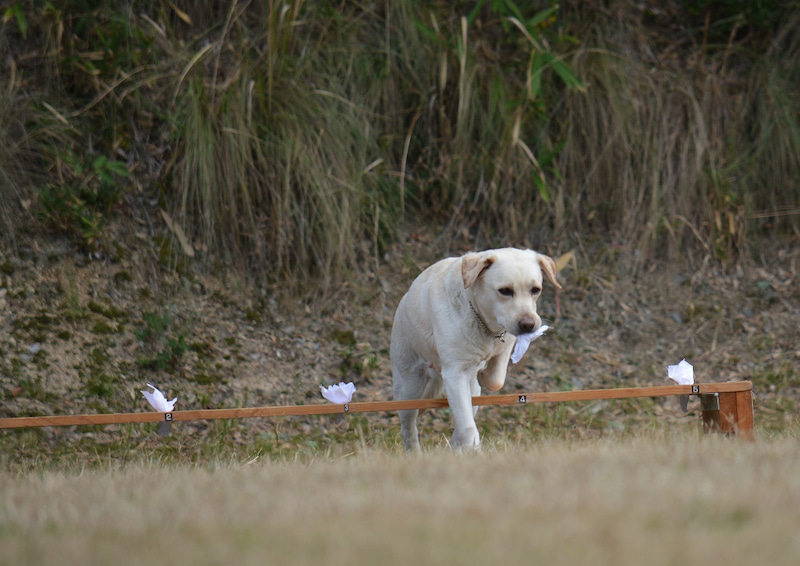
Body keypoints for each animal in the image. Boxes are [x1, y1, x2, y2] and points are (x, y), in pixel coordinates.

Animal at [390, 248, 560, 452]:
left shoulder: (506, 344)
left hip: (472, 393)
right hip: (410, 389)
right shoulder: (455, 373)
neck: (484, 323)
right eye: (505, 291)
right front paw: (471, 447)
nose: (529, 325)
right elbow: (467, 425)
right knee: (408, 428)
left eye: (536, 290)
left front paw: (484, 374)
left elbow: (496, 379)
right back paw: (416, 453)